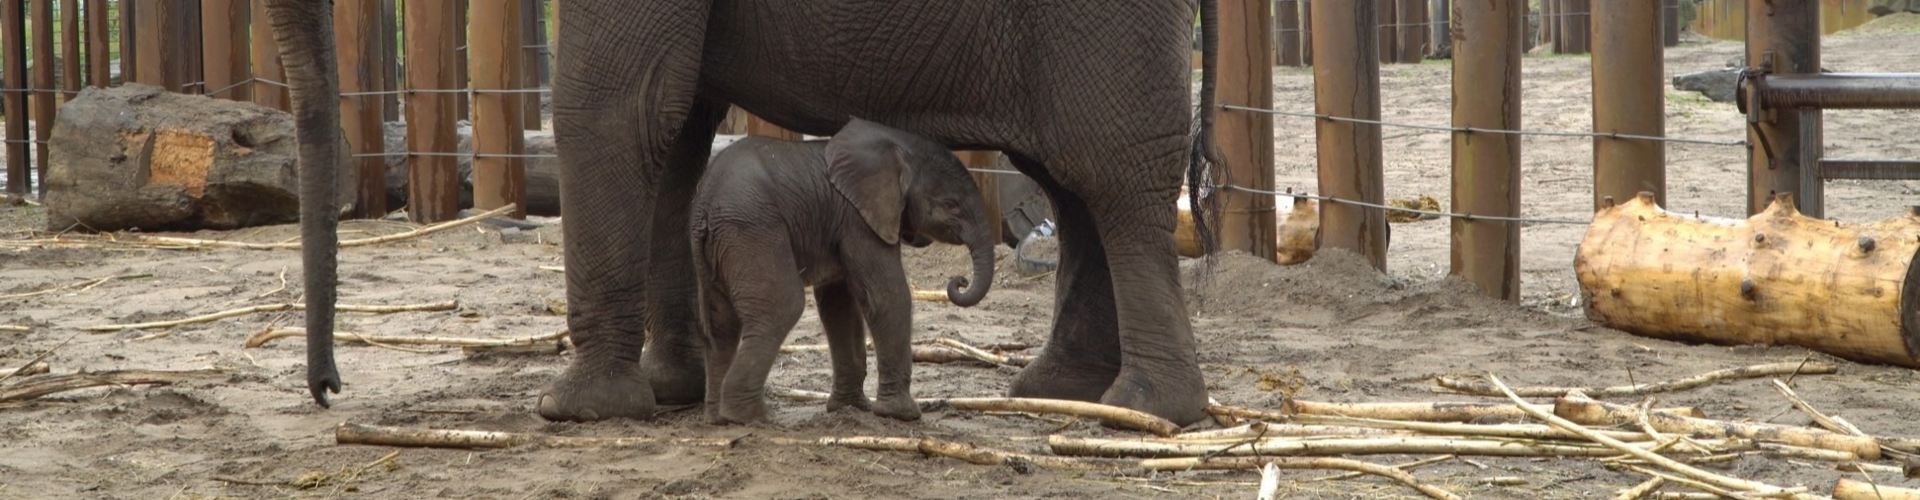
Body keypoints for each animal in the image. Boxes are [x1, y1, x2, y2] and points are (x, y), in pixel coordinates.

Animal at [691, 118, 998, 425]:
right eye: (951, 205)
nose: (959, 281)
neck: (896, 143)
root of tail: (704, 205)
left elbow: (839, 306)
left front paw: (849, 407)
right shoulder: (857, 219)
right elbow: (886, 296)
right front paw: (902, 414)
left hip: (719, 247)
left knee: (721, 324)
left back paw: (717, 417)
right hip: (751, 231)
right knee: (781, 306)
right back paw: (750, 416)